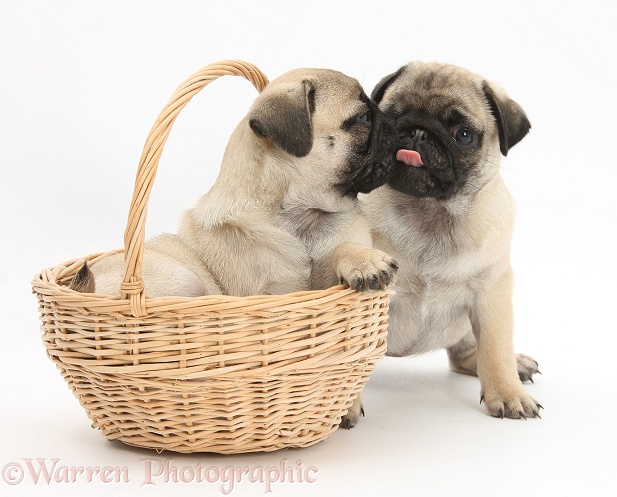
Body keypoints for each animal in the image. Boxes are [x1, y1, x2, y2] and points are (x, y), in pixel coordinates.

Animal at [72, 67, 398, 302]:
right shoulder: (273, 294)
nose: (392, 122)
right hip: (184, 279)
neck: (303, 214)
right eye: (364, 117)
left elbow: (343, 247)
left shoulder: (329, 278)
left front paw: (363, 260)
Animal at [356, 60, 540, 420]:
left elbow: (495, 348)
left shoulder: (492, 293)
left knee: (468, 355)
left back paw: (516, 366)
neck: (430, 211)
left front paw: (507, 393)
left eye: (463, 134)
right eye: (390, 120)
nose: (417, 132)